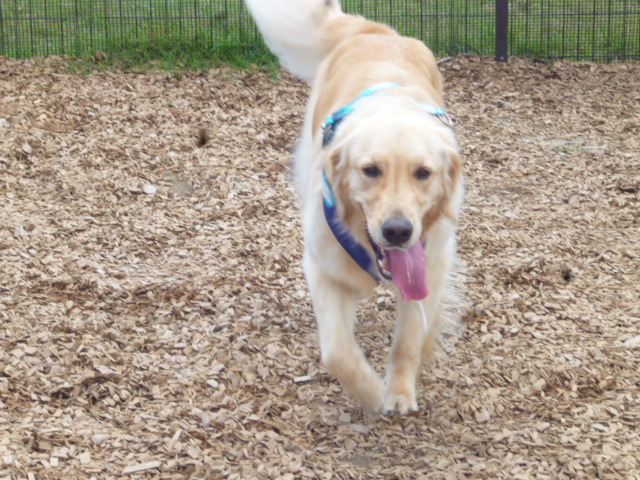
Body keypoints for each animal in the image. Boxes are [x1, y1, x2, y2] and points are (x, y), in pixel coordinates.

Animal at [246, 0, 463, 415]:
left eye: (423, 173)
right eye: (370, 170)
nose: (398, 231)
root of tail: (374, 32)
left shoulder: (432, 261)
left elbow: (409, 337)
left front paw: (399, 392)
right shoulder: (322, 267)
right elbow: (337, 352)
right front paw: (372, 393)